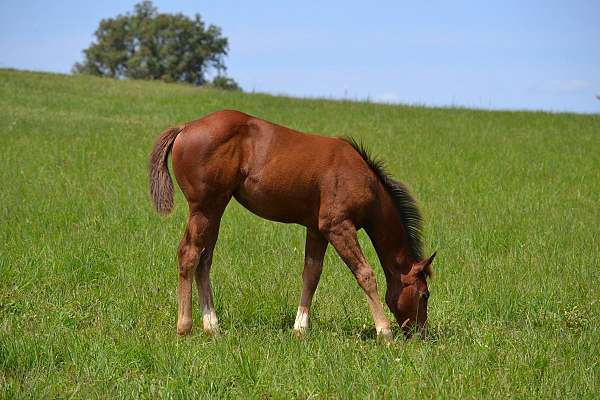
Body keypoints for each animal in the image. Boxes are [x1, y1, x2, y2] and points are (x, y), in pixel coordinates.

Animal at [148, 109, 434, 340]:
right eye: (425, 295)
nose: (419, 335)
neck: (365, 180)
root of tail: (185, 127)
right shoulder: (338, 226)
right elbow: (365, 274)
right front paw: (384, 332)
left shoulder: (317, 230)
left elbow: (311, 274)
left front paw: (300, 328)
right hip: (204, 209)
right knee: (189, 254)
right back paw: (185, 328)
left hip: (215, 210)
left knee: (204, 260)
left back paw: (213, 327)